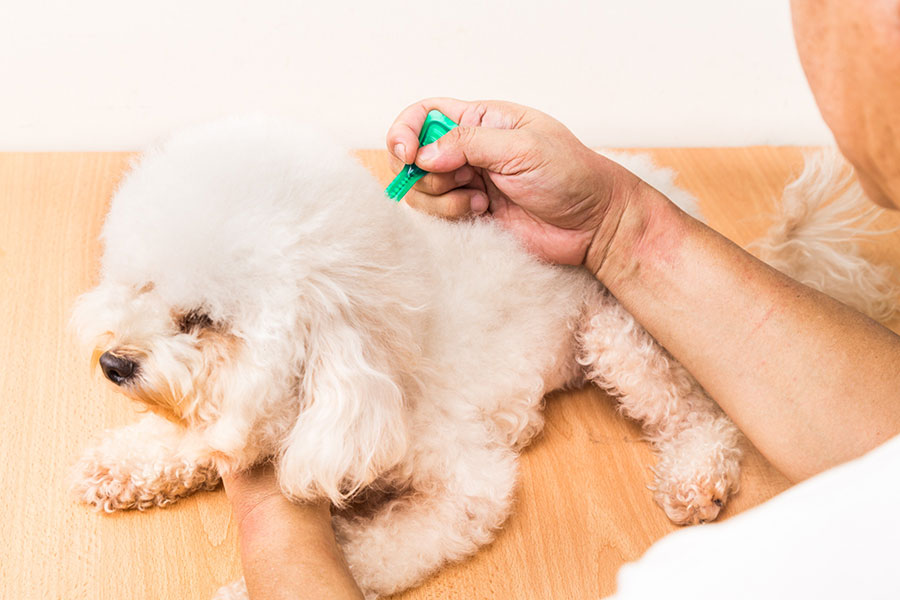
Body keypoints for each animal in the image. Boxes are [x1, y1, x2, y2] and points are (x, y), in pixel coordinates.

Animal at [68, 118, 892, 600]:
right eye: (139, 285)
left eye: (201, 321)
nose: (114, 365)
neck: (371, 352)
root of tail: (671, 193)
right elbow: (192, 436)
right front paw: (128, 462)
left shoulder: (466, 484)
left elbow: (380, 547)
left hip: (620, 334)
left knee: (700, 415)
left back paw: (696, 473)